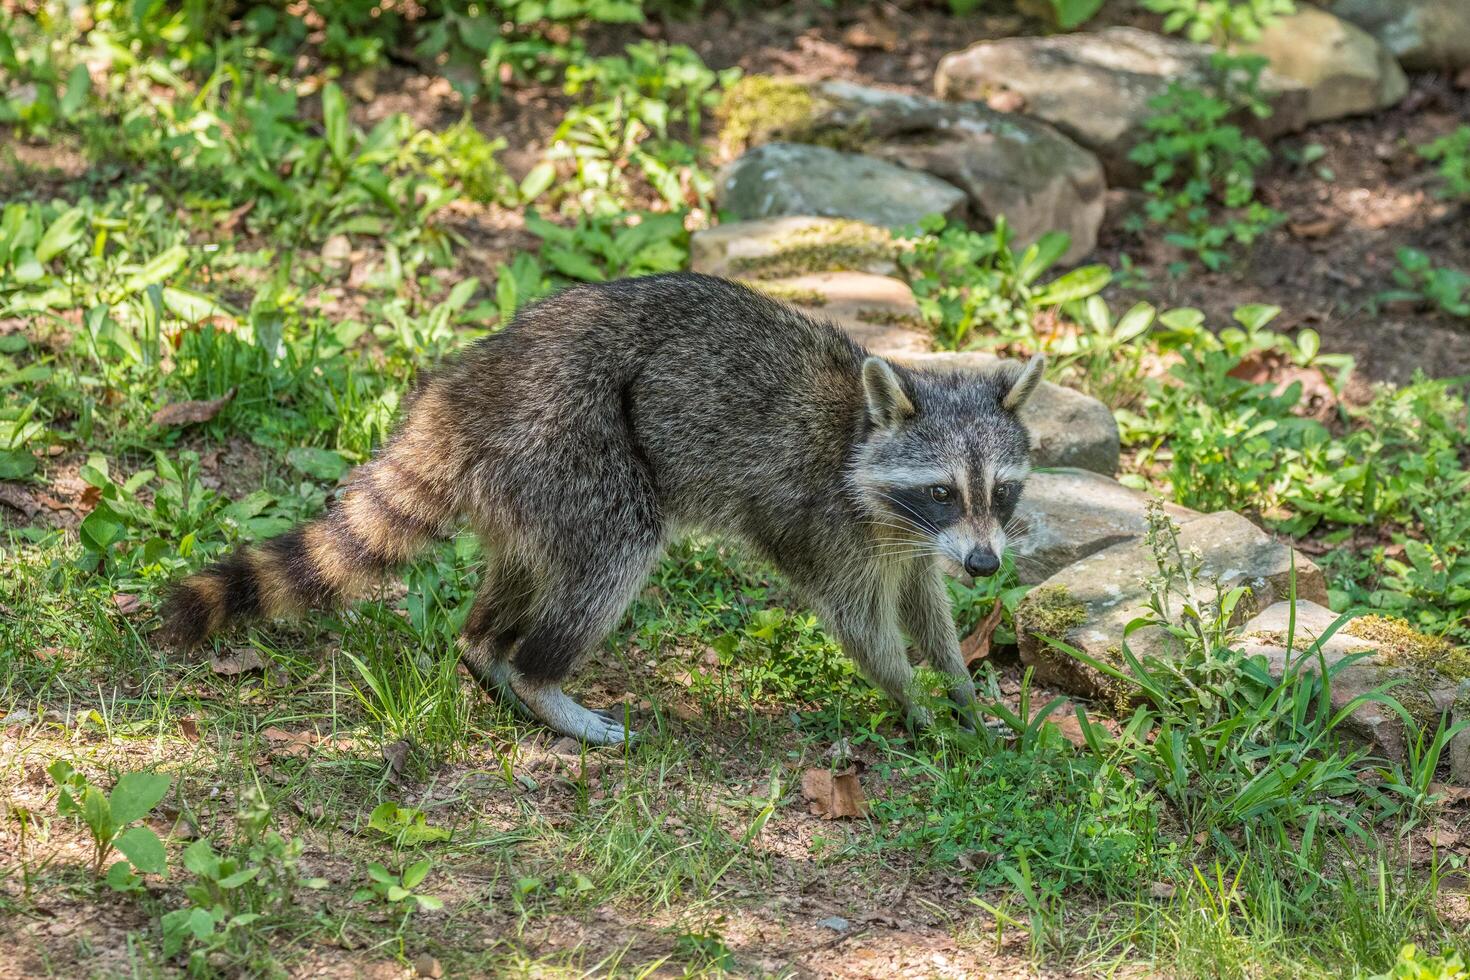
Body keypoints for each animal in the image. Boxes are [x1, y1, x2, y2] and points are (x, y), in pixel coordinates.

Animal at [160, 271, 1046, 746]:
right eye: (942, 489)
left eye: (1000, 490)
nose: (986, 565)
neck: (863, 440)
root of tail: (463, 395)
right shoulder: (824, 522)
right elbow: (862, 624)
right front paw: (915, 702)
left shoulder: (909, 541)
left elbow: (923, 603)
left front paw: (962, 689)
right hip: (570, 442)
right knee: (615, 551)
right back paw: (540, 677)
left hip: (526, 485)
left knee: (523, 570)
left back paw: (486, 648)